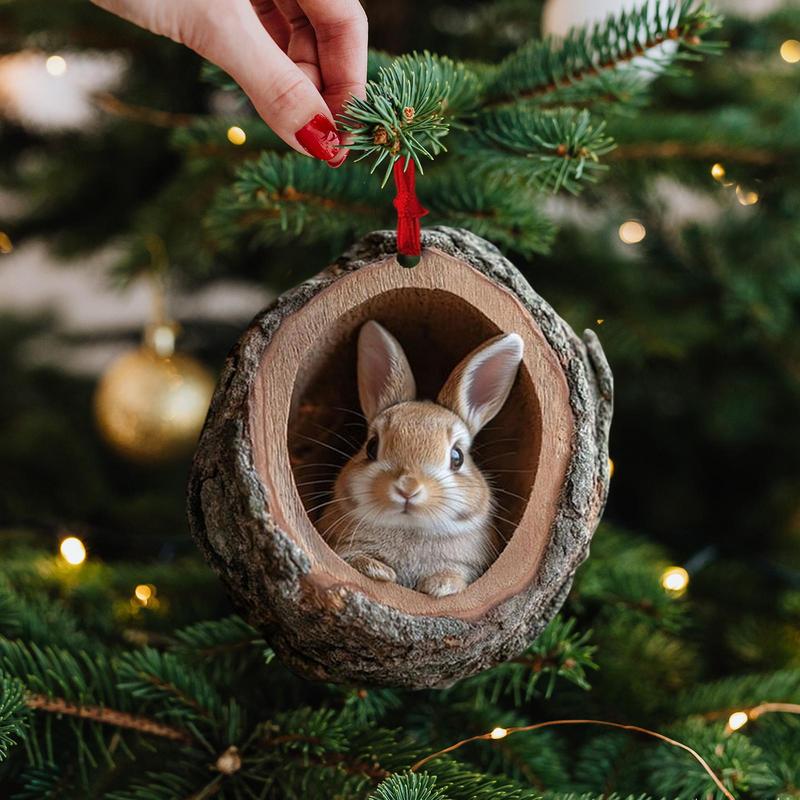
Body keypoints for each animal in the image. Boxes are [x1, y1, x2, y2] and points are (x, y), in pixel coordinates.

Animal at [318, 320, 524, 598]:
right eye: (372, 447)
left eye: (457, 457)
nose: (408, 487)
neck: (410, 528)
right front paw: (379, 571)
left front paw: (440, 585)